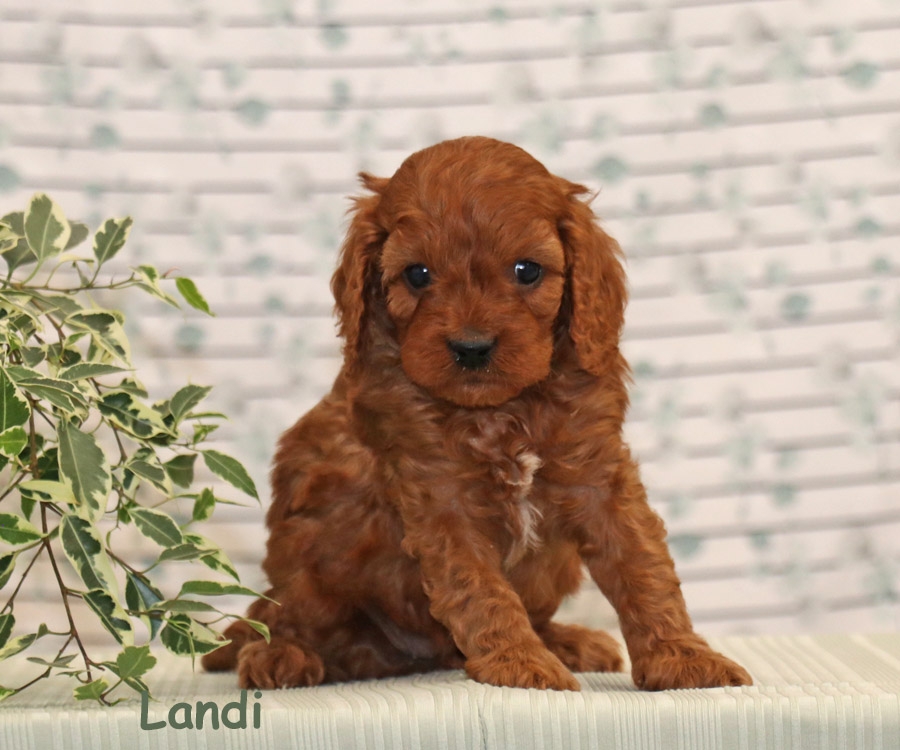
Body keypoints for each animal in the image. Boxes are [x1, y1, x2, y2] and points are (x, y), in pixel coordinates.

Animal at [202, 136, 752, 692]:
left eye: (527, 270)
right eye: (417, 274)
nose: (472, 348)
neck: (501, 411)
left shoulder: (599, 476)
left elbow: (644, 567)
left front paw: (683, 658)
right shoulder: (442, 497)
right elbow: (479, 588)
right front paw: (521, 664)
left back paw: (566, 641)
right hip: (313, 554)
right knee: (279, 616)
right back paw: (282, 655)